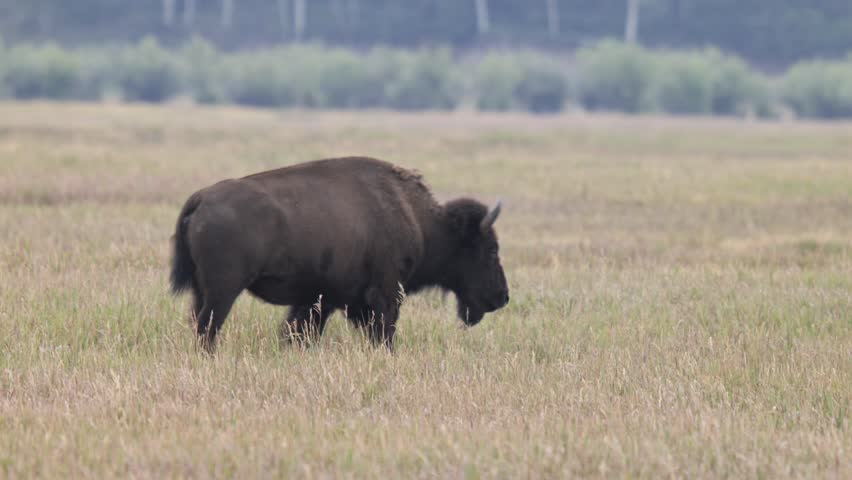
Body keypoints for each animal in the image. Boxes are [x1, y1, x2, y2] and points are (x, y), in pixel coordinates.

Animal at [170, 156, 509, 351]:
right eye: (490, 249)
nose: (502, 297)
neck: (420, 220)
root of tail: (202, 198)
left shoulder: (320, 300)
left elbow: (299, 332)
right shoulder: (385, 296)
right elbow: (384, 333)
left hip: (203, 291)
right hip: (223, 291)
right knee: (208, 326)